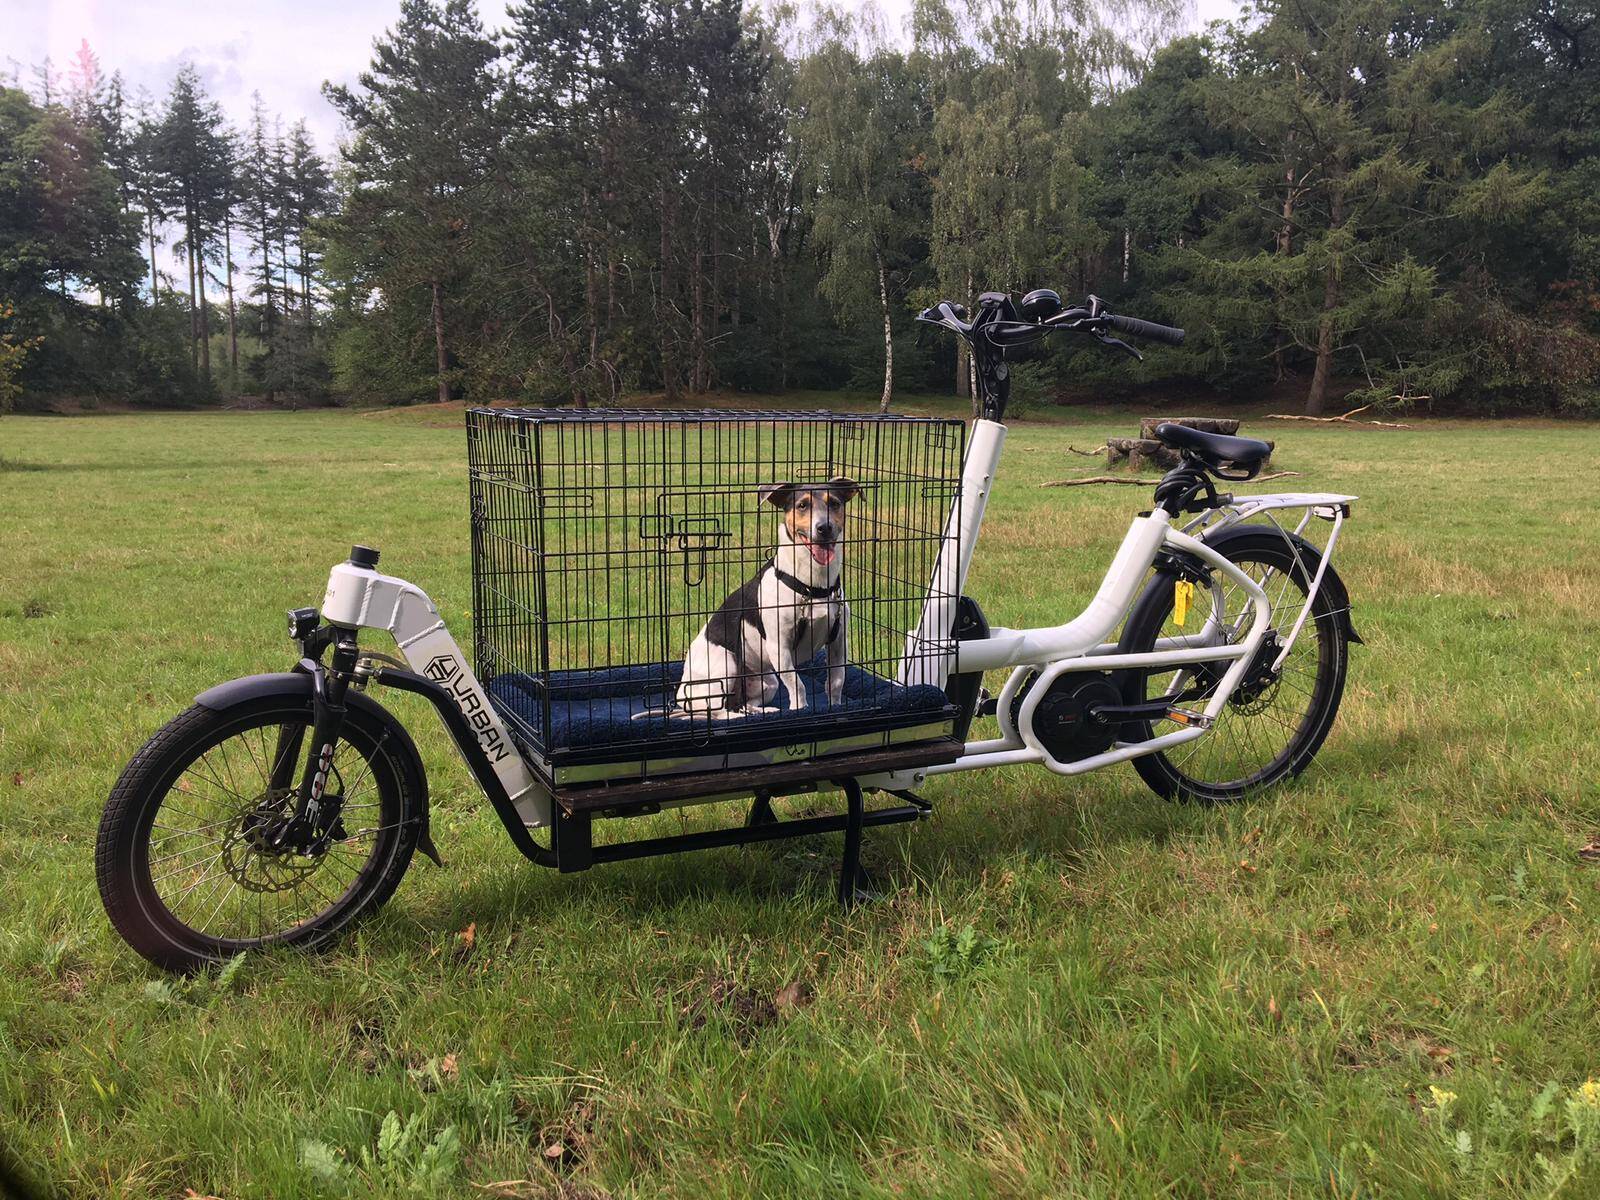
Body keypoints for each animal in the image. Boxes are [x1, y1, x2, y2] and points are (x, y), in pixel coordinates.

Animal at [675, 476, 860, 717]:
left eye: (835, 504)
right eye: (802, 505)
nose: (824, 527)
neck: (811, 587)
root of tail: (682, 695)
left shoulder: (838, 641)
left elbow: (836, 682)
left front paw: (835, 707)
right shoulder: (779, 647)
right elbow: (797, 684)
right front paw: (800, 709)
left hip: (767, 681)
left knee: (743, 702)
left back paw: (761, 711)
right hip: (727, 665)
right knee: (719, 711)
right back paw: (737, 716)